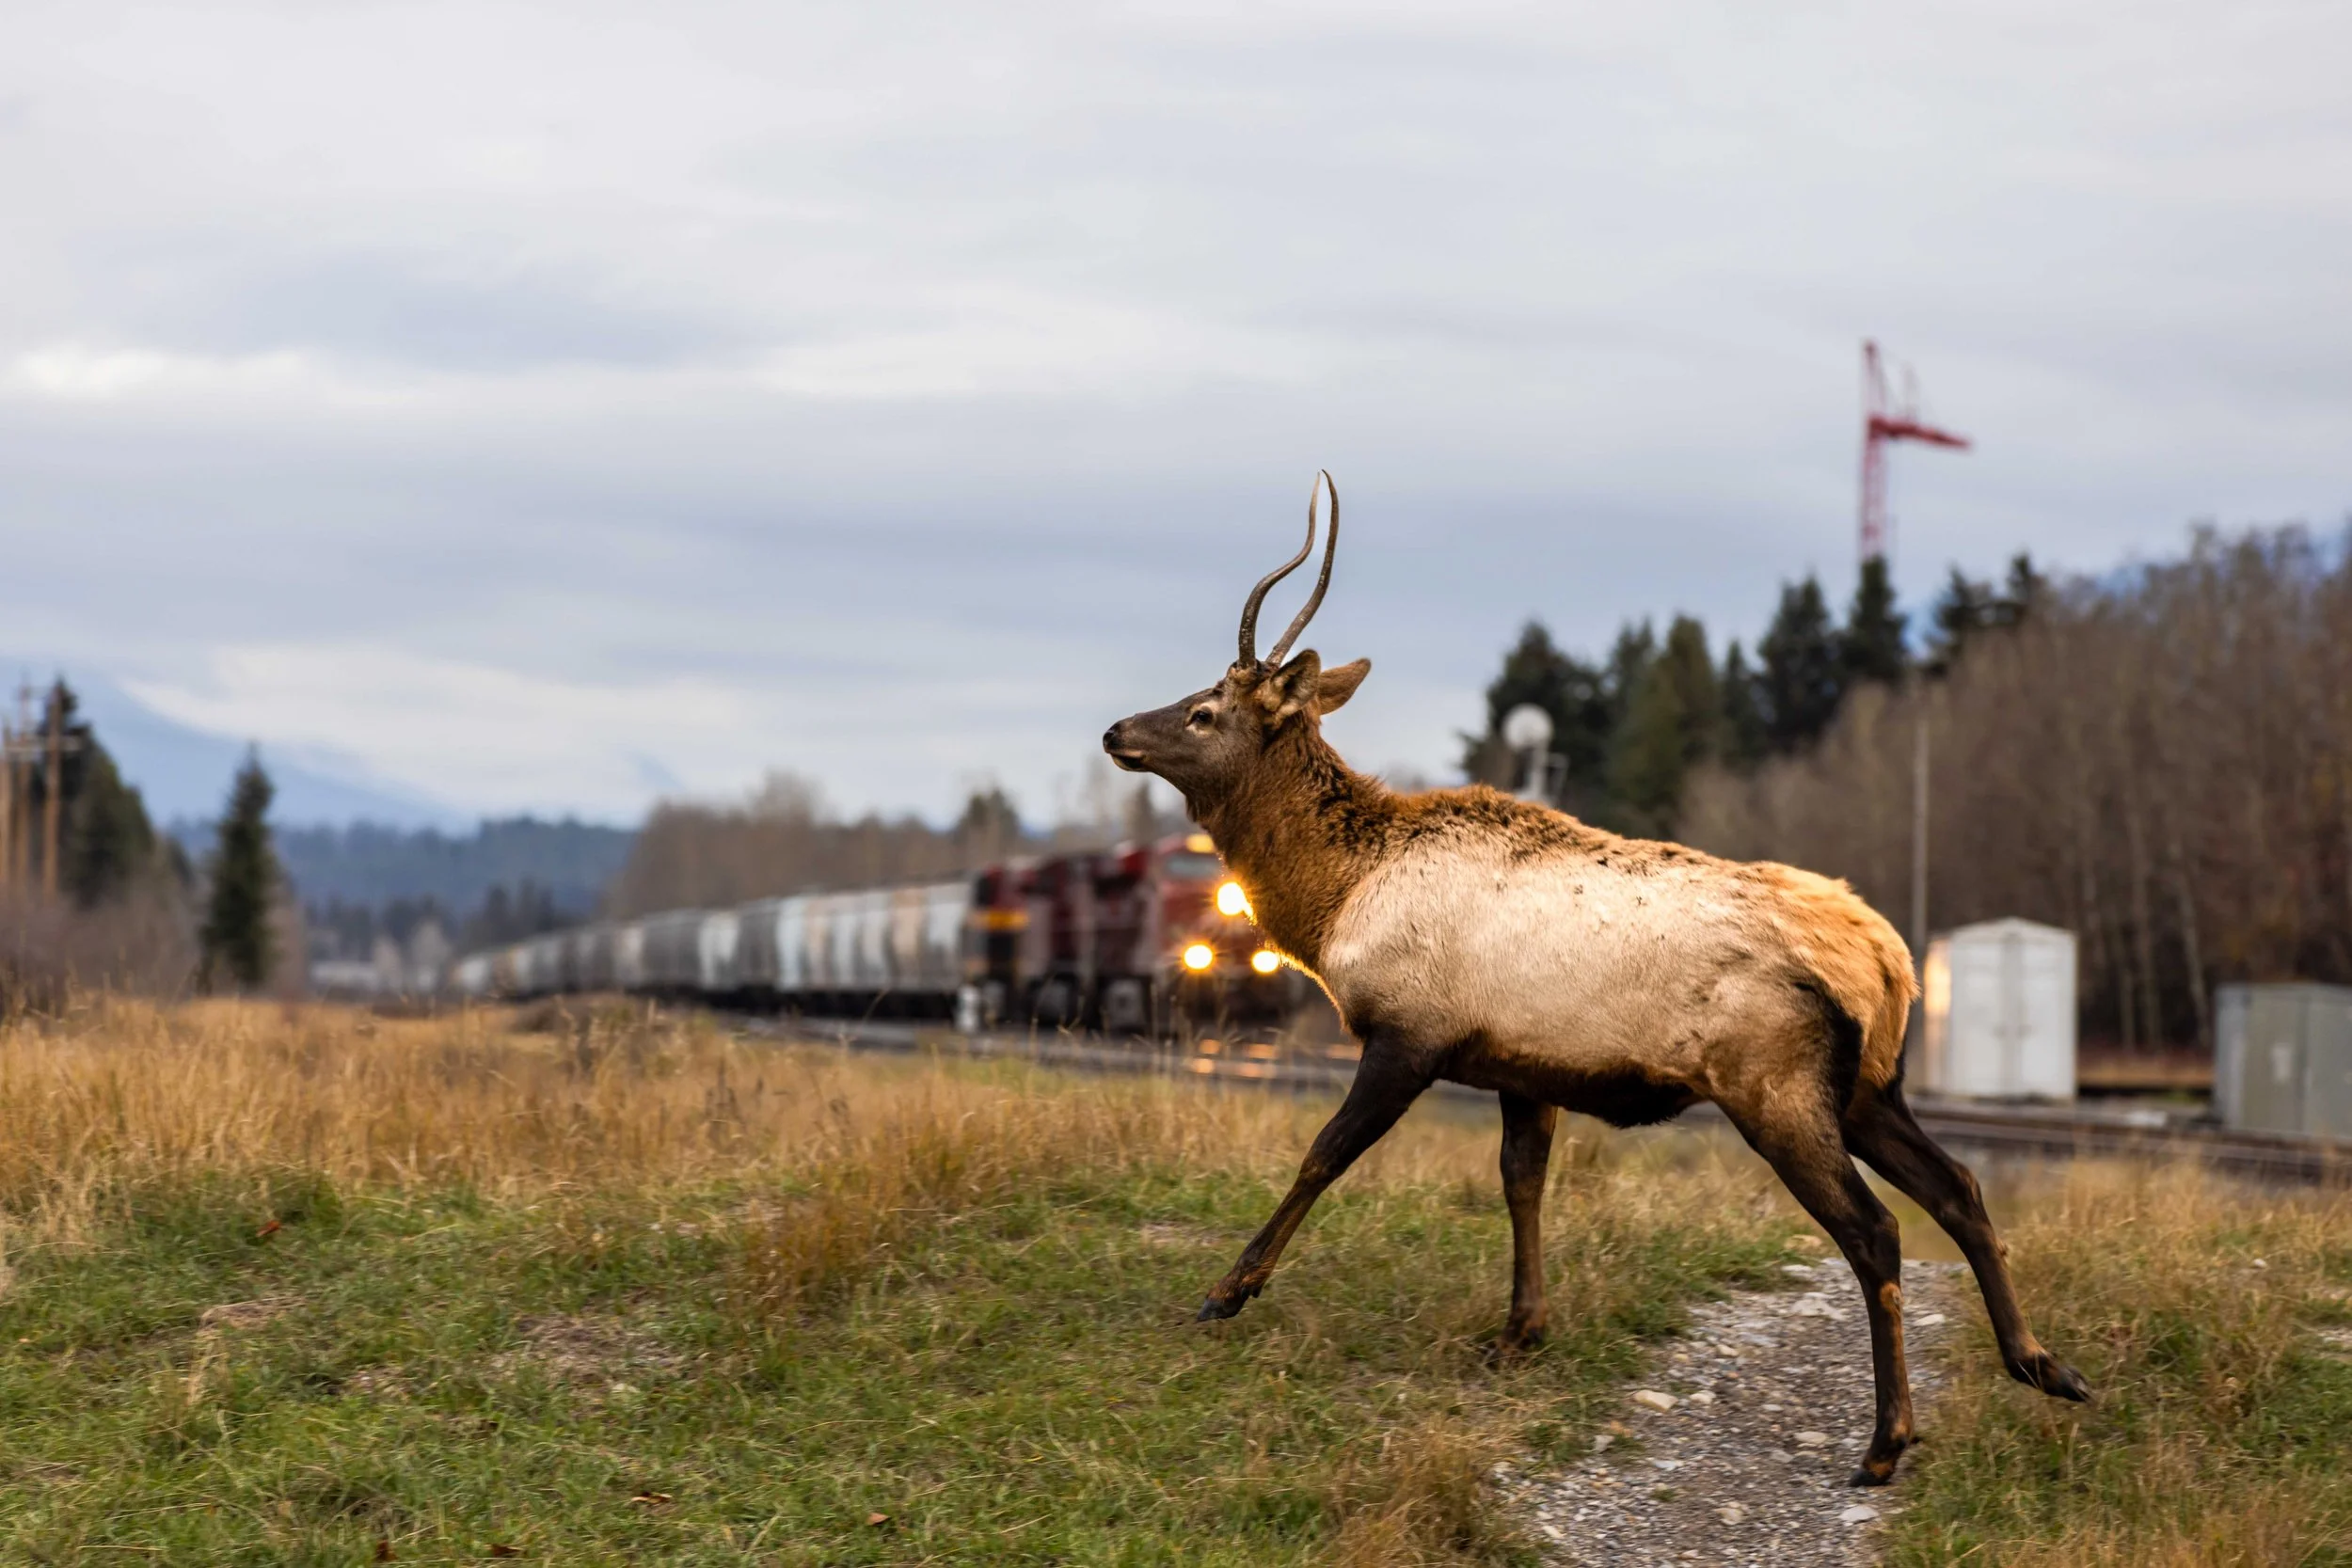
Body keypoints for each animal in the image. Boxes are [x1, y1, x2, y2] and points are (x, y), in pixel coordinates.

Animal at [1101, 473, 2090, 1487]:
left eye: (1206, 709)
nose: (1115, 730)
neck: (1336, 900)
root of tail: (1889, 961)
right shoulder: (1520, 1065)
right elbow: (1520, 1182)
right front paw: (1518, 1330)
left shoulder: (1409, 1036)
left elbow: (1323, 1154)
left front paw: (1227, 1289)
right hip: (1869, 1087)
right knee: (1959, 1186)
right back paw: (2042, 1363)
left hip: (1776, 1086)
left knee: (1876, 1228)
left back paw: (1888, 1439)